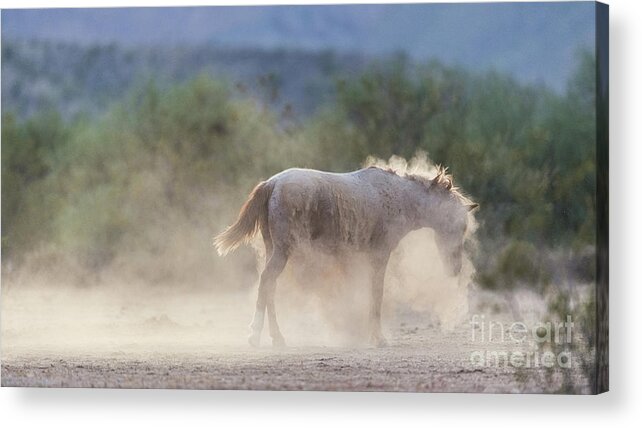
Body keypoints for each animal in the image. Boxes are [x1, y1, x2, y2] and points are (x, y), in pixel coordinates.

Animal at [214, 165, 476, 348]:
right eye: (460, 225)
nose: (455, 268)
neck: (396, 196)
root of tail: (273, 182)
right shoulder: (379, 257)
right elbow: (376, 296)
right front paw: (378, 339)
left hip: (273, 250)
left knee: (270, 288)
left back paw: (277, 338)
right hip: (282, 251)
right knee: (267, 282)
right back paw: (256, 336)